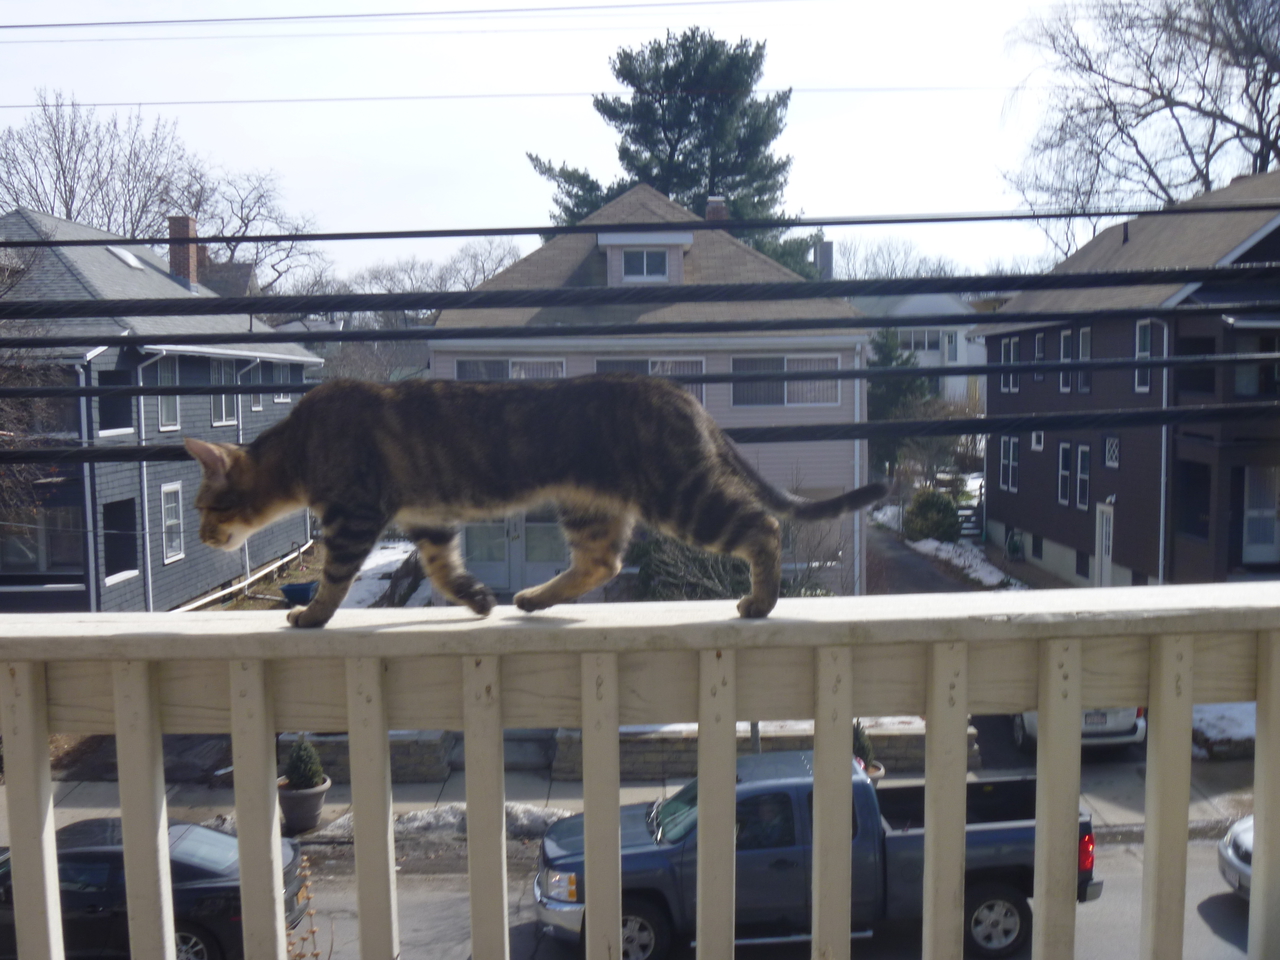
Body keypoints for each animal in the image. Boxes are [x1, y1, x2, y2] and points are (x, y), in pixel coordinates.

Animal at [184, 375, 886, 628]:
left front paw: (310, 615)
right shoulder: (428, 519)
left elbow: (332, 578)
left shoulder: (354, 516)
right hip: (590, 506)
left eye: (208, 507)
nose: (200, 538)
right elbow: (445, 570)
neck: (299, 447)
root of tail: (678, 390)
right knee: (600, 562)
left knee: (763, 524)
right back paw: (531, 598)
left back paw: (760, 601)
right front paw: (478, 600)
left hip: (679, 495)